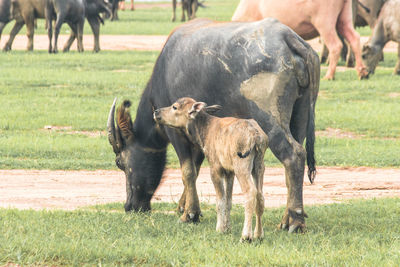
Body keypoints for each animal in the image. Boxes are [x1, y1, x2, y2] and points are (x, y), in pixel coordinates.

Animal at [153, 97, 268, 242]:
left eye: (175, 107)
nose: (156, 112)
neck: (204, 134)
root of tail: (257, 137)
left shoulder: (215, 168)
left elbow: (220, 201)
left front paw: (220, 228)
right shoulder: (229, 172)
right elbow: (228, 200)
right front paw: (227, 227)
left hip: (242, 165)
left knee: (250, 192)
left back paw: (246, 236)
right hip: (259, 166)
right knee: (260, 195)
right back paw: (259, 234)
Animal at [231, 0, 368, 80]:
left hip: (324, 21)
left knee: (335, 45)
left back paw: (329, 75)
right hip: (344, 18)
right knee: (354, 38)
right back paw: (362, 72)